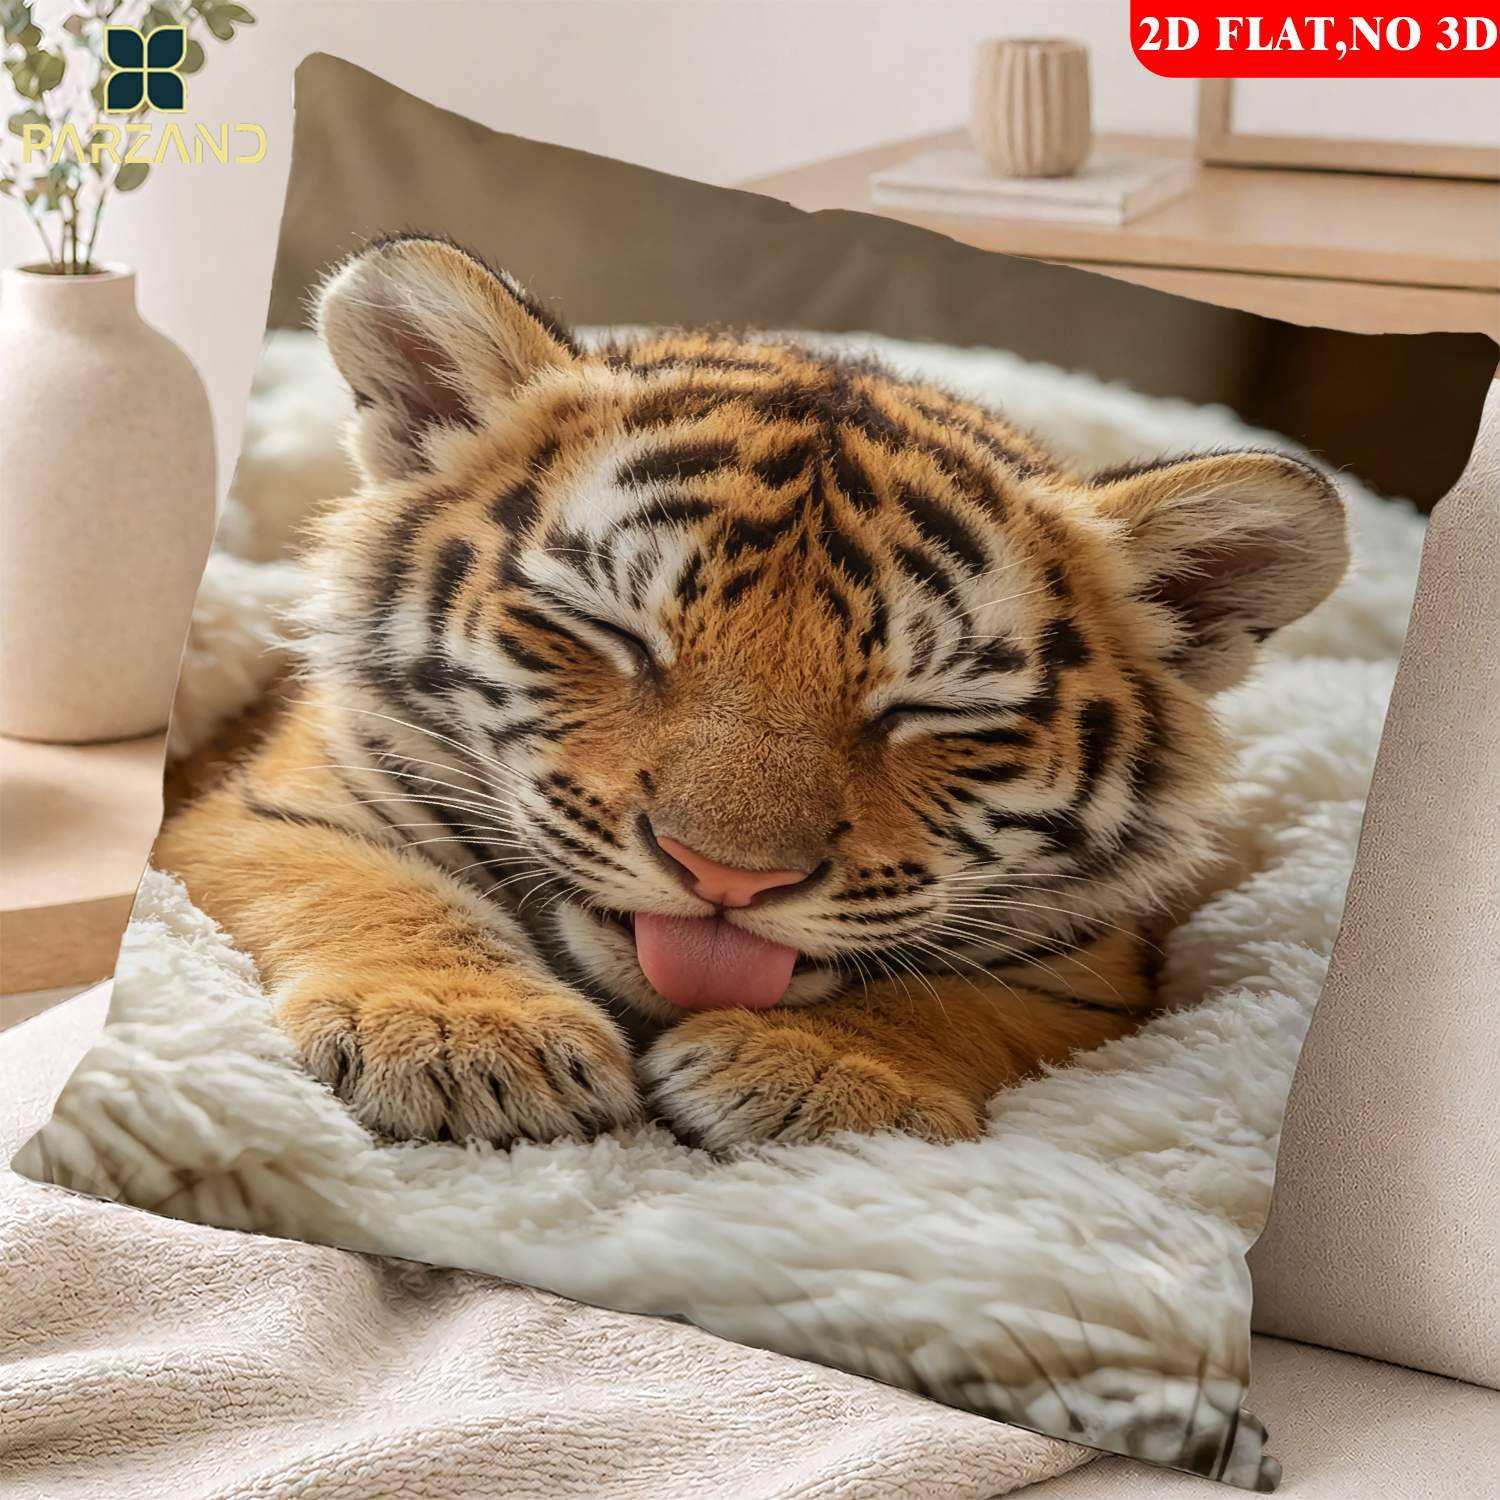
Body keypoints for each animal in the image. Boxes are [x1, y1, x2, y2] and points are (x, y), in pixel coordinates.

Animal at [155, 234, 1349, 1153]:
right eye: (609, 632)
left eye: (934, 711)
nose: (725, 879)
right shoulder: (273, 804)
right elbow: (363, 882)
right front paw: (463, 1037)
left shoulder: (1094, 971)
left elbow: (964, 1000)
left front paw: (827, 1074)